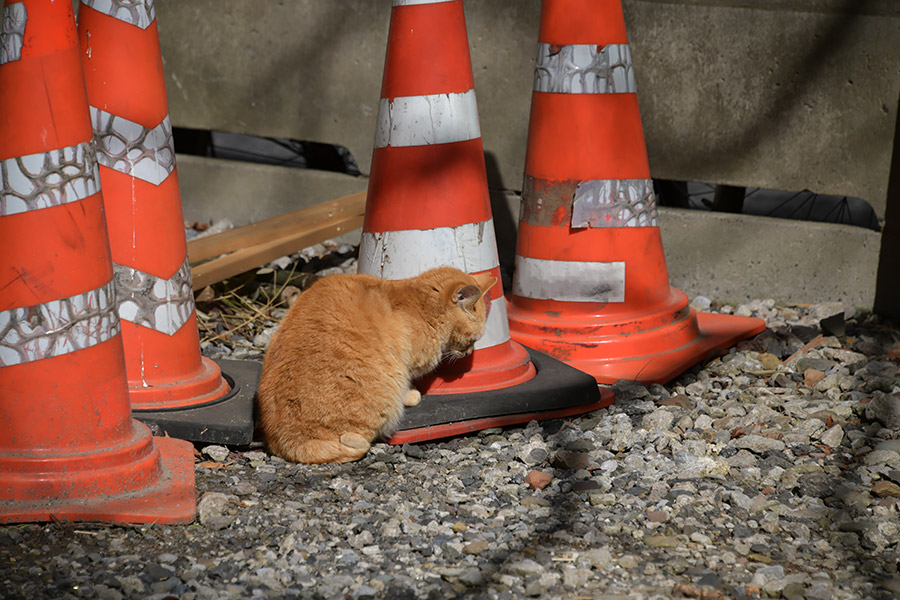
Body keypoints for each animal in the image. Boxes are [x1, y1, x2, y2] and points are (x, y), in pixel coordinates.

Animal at [255, 266, 500, 464]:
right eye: (473, 340)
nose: (468, 353)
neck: (419, 305)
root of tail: (290, 442)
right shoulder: (404, 365)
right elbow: (407, 382)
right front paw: (411, 394)